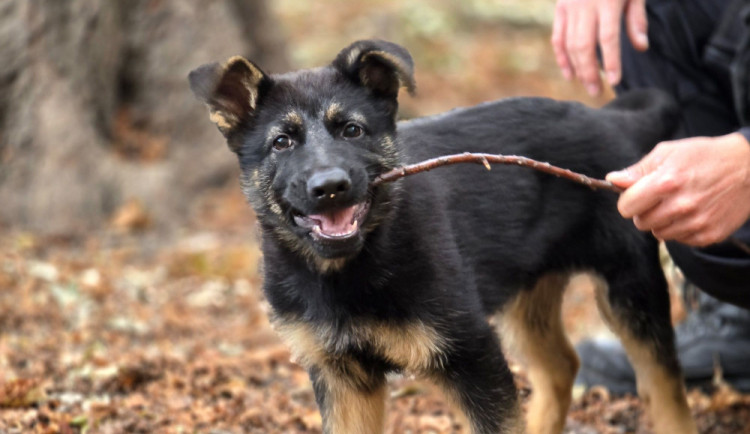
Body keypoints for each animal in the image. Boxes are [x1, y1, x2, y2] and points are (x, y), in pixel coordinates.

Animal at [189, 39, 700, 432]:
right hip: (527, 296)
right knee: (560, 367)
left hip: (629, 288)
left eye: (352, 130)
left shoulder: (471, 355)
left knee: (664, 386)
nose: (330, 187)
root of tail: (613, 121)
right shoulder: (342, 379)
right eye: (281, 143)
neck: (348, 268)